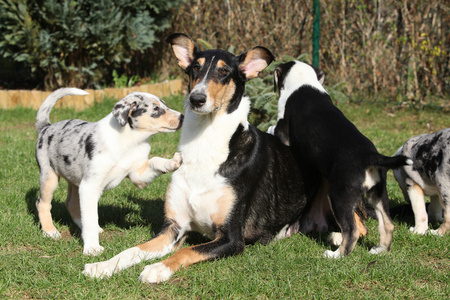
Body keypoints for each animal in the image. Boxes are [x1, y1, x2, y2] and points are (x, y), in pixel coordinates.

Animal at [35, 88, 183, 255]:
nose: (183, 117)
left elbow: (155, 161)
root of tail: (46, 127)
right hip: (49, 177)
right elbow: (91, 218)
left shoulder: (138, 175)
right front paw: (92, 248)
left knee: (71, 203)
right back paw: (50, 231)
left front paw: (173, 161)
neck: (129, 140)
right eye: (156, 109)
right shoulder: (90, 186)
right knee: (42, 203)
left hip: (74, 178)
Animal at [82, 34, 312, 282]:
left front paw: (158, 268)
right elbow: (133, 249)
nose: (197, 99)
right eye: (195, 68)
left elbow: (188, 250)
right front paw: (102, 265)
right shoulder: (173, 227)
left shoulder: (232, 238)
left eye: (224, 71)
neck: (204, 142)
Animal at [268, 61, 414, 258]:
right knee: (388, 223)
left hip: (340, 197)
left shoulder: (283, 130)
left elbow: (274, 128)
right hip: (378, 193)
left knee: (352, 231)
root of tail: (370, 156)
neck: (304, 83)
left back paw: (336, 255)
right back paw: (380, 250)